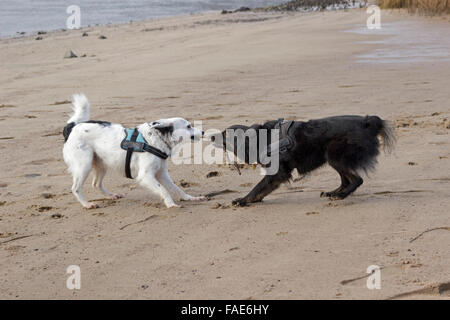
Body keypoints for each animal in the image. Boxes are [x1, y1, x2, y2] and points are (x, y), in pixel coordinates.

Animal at [62, 93, 206, 208]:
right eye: (188, 126)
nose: (204, 131)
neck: (155, 140)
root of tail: (72, 127)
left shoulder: (162, 174)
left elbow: (176, 188)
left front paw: (189, 198)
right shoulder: (145, 175)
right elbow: (164, 190)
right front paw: (171, 204)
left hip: (101, 164)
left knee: (96, 184)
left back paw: (111, 196)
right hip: (84, 165)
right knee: (75, 188)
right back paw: (87, 204)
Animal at [214, 116, 394, 206]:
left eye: (225, 134)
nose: (211, 136)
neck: (260, 139)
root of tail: (368, 122)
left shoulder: (278, 173)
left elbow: (258, 187)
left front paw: (244, 200)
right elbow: (262, 189)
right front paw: (253, 200)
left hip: (335, 155)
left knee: (357, 179)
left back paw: (340, 196)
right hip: (333, 158)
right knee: (346, 179)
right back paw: (334, 192)